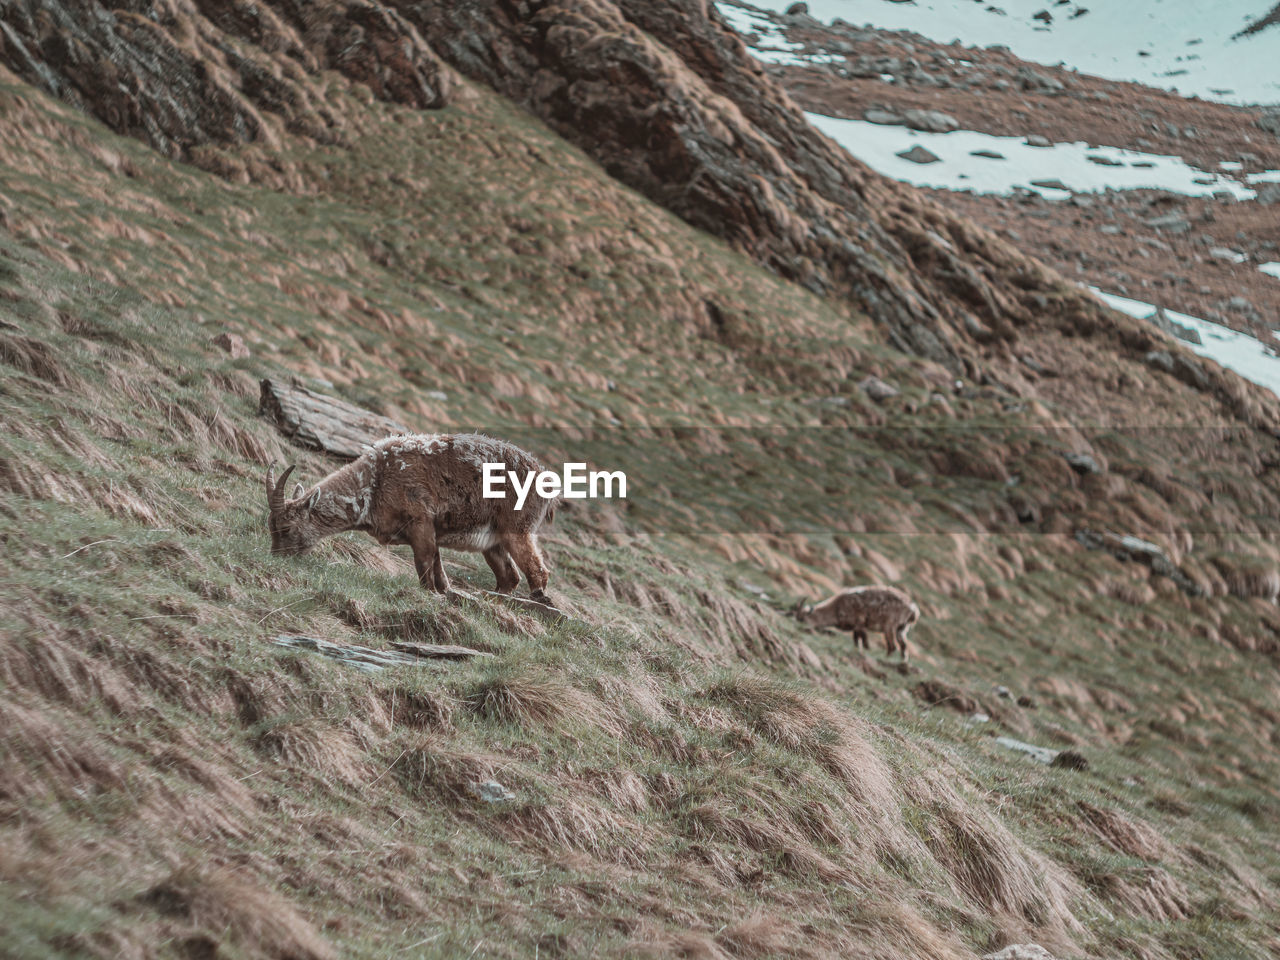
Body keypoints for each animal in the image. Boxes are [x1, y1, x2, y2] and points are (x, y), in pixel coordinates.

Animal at [264, 435, 555, 601]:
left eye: (286, 528)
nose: (276, 557)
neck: (374, 482)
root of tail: (546, 481)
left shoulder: (420, 522)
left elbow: (424, 562)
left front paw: (431, 594)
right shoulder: (430, 531)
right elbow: (437, 566)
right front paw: (445, 591)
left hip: (517, 529)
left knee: (537, 572)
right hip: (492, 543)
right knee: (509, 576)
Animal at [788, 586, 921, 660]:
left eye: (802, 619)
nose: (800, 627)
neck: (837, 608)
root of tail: (913, 609)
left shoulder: (860, 622)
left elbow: (863, 640)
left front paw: (866, 651)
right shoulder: (856, 627)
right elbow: (857, 640)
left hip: (890, 625)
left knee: (892, 646)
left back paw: (886, 658)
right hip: (902, 628)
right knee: (904, 646)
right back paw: (902, 662)